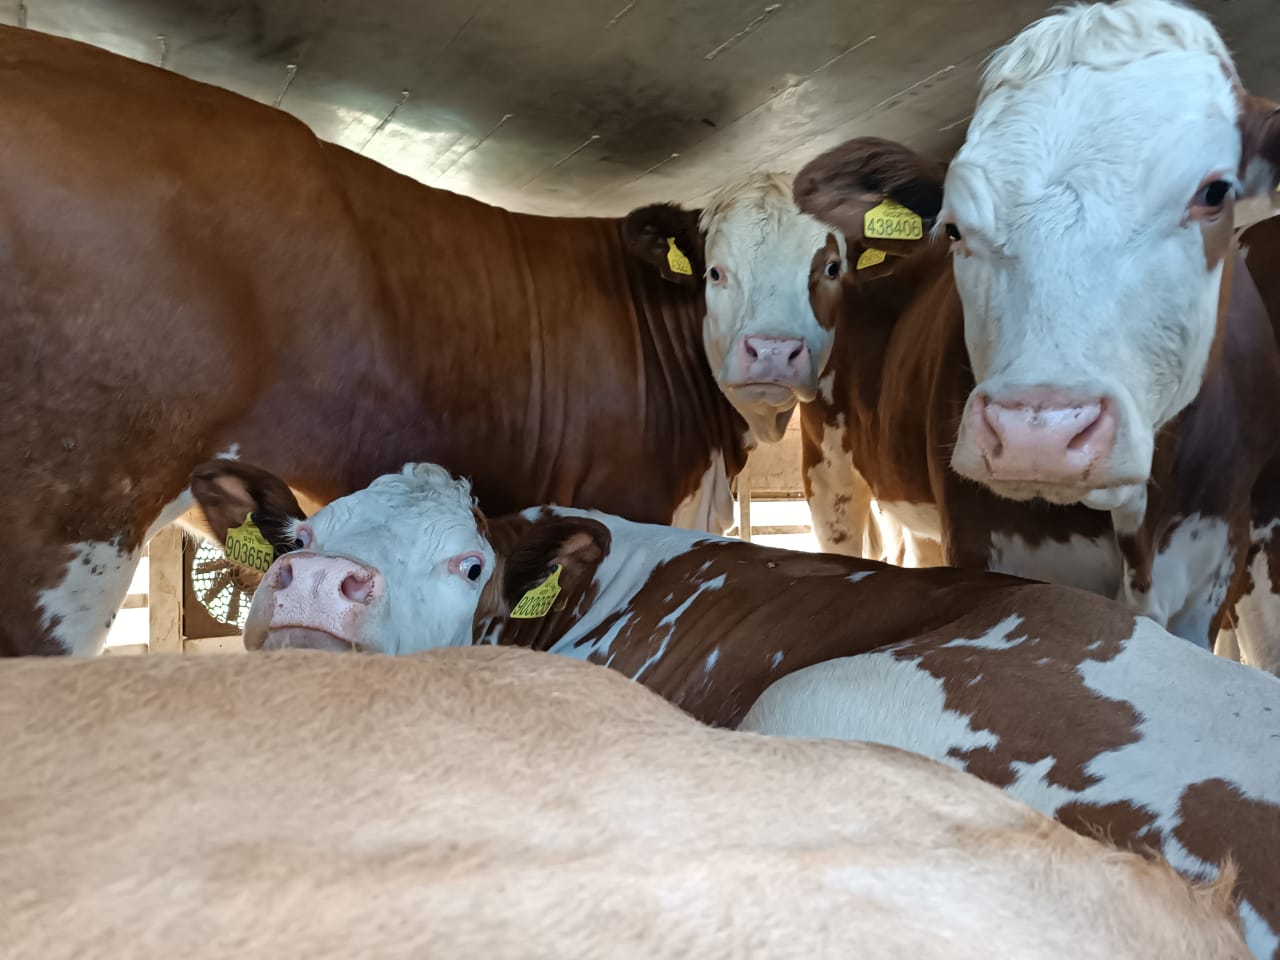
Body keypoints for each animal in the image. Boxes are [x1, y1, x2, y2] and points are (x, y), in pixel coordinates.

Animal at [790, 0, 1280, 666]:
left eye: (1215, 193)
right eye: (953, 227)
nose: (1036, 436)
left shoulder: (1215, 564)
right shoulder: (980, 540)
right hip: (830, 478)